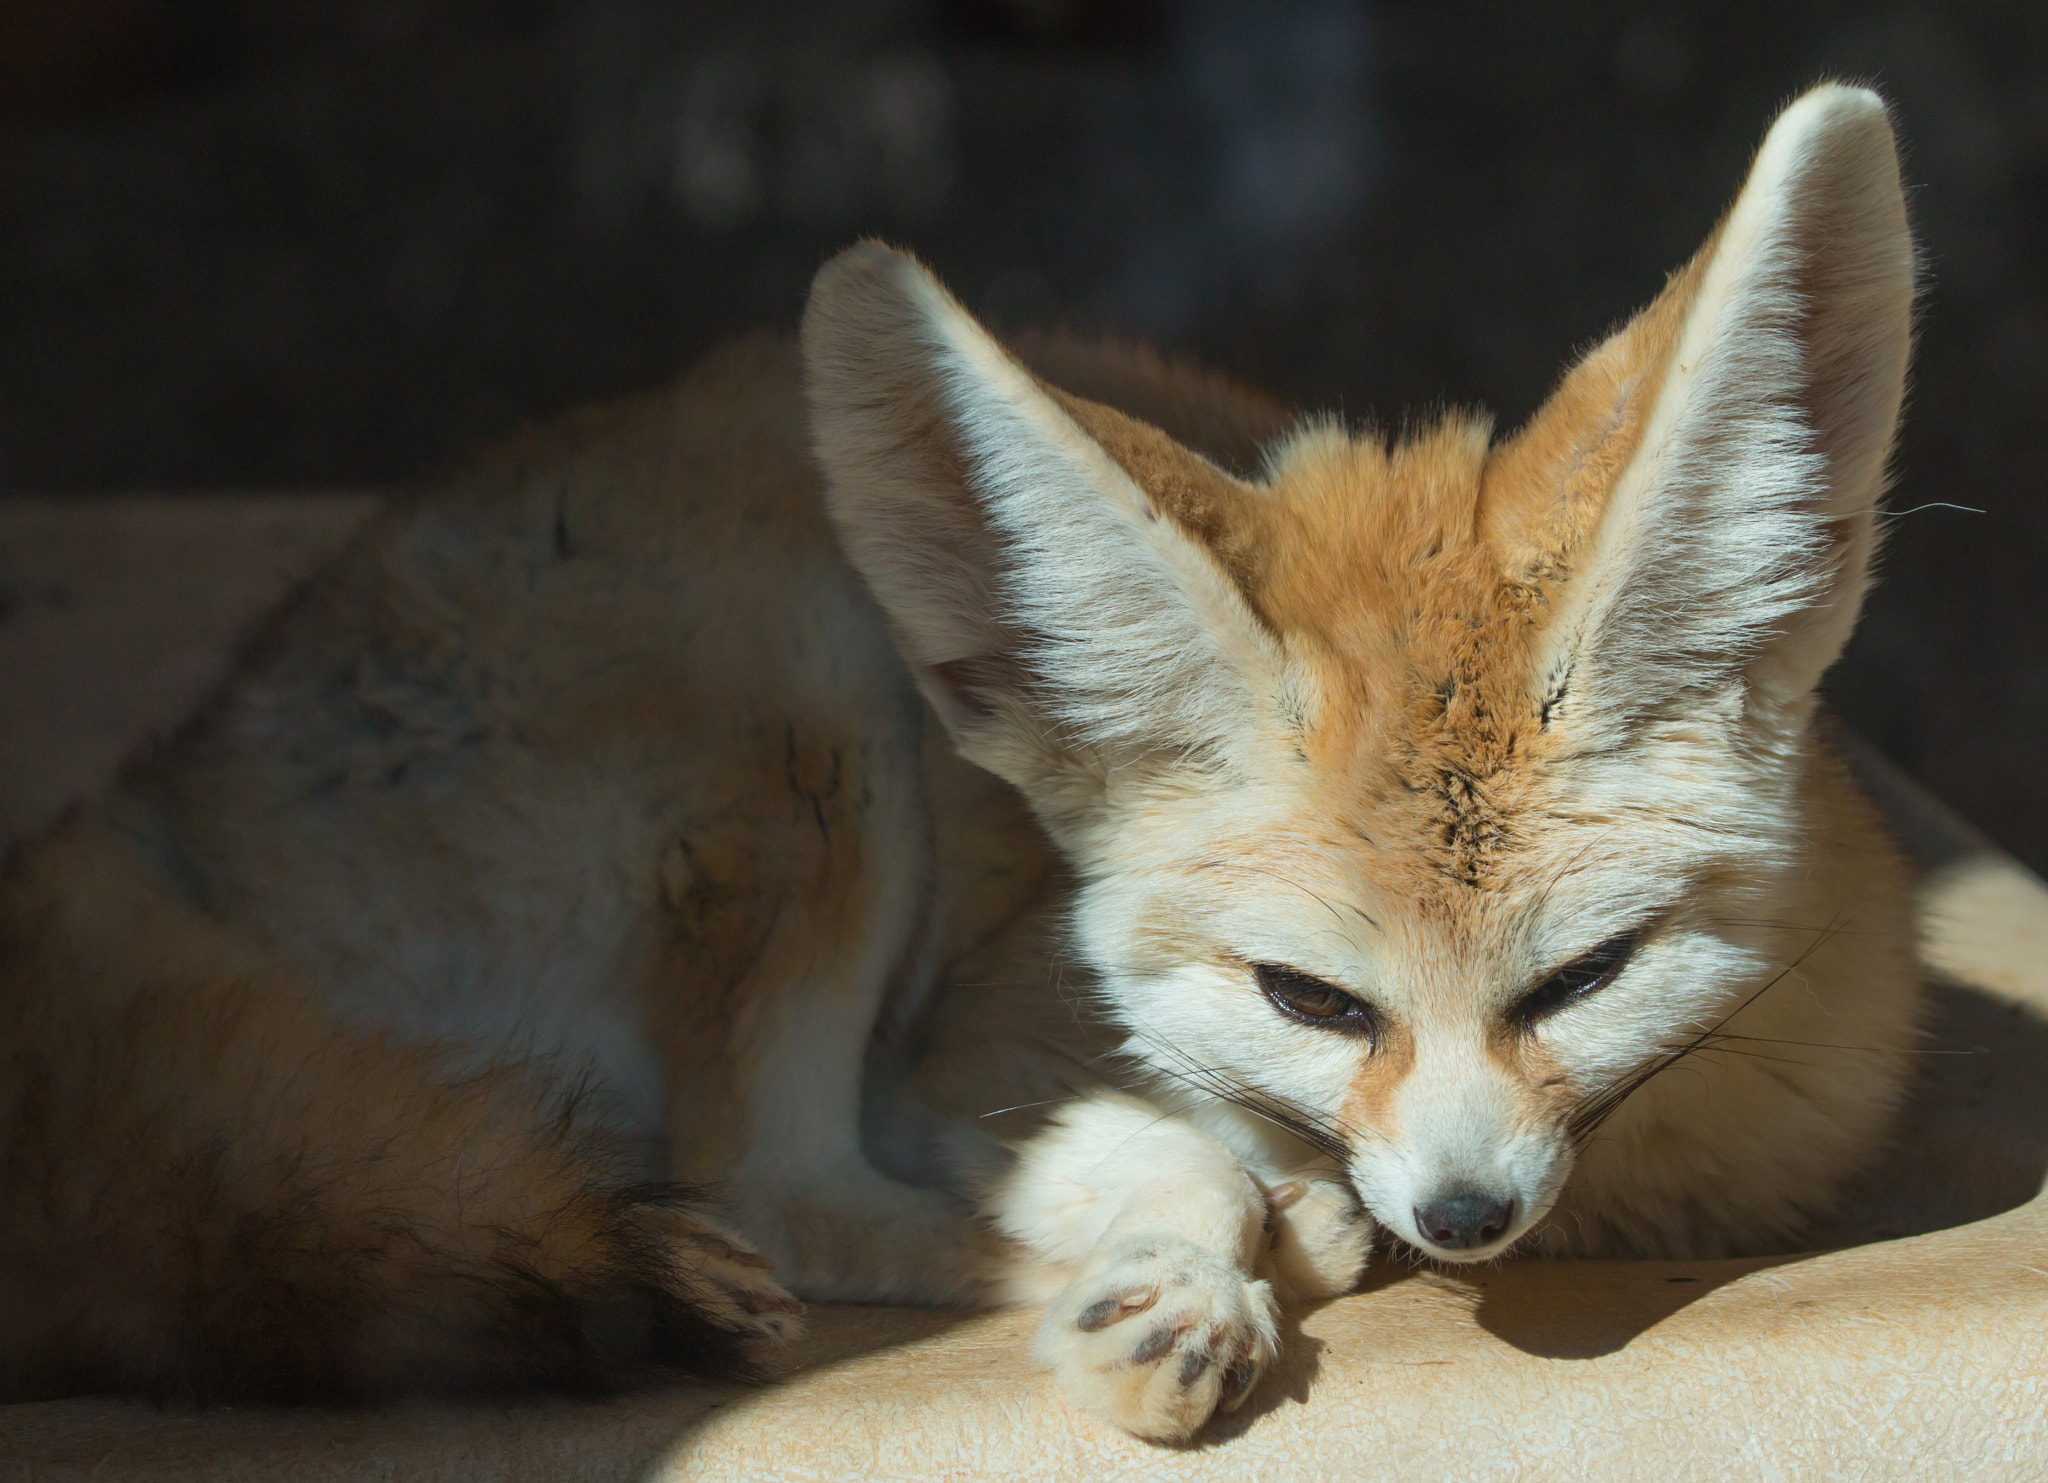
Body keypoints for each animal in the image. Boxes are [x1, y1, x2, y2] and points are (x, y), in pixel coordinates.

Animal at [0, 82, 1920, 1441]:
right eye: (1312, 998)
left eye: (1584, 974)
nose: (1460, 1209)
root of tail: (140, 794)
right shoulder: (972, 1064)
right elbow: (1146, 1152)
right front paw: (1191, 1257)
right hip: (814, 717)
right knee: (778, 1193)